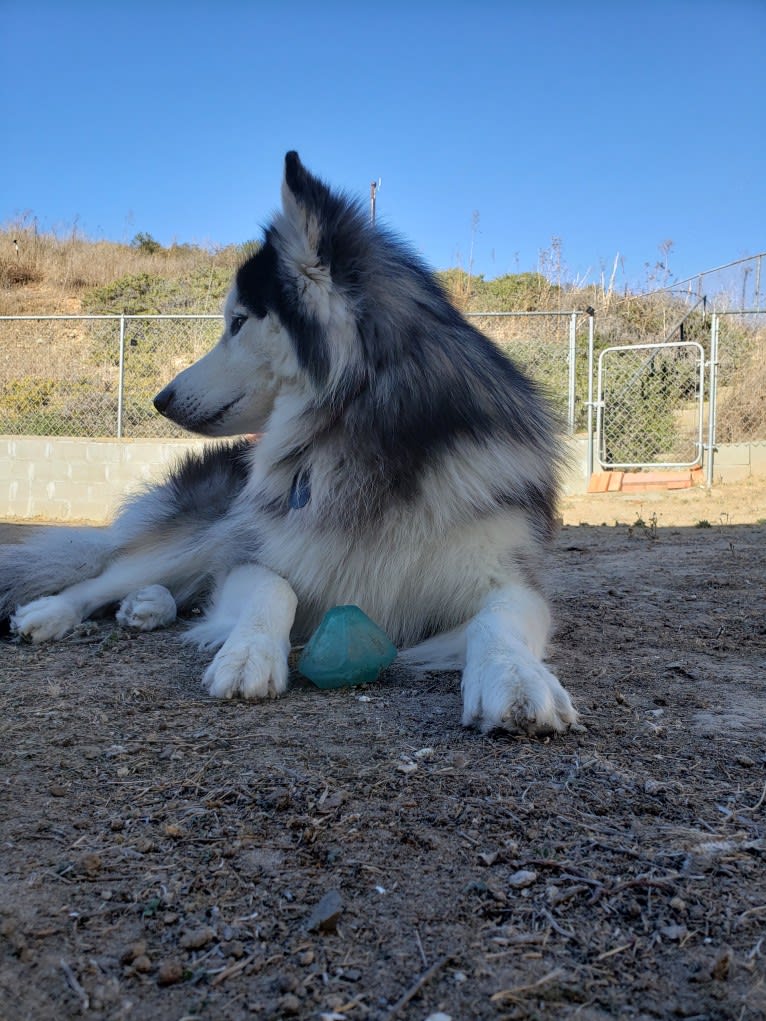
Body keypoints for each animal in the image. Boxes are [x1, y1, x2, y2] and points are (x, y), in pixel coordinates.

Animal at [0, 151, 576, 735]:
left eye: (237, 322)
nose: (160, 399)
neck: (366, 434)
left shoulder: (509, 577)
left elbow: (497, 623)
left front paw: (515, 679)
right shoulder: (255, 553)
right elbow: (274, 588)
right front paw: (247, 653)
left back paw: (147, 605)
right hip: (211, 527)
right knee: (107, 577)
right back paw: (53, 612)